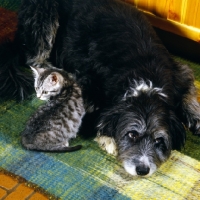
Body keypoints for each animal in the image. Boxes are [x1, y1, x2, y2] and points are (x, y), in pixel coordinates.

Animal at [1, 0, 200, 177]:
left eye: (159, 140)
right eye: (131, 135)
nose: (143, 170)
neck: (145, 79)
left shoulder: (179, 72)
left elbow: (189, 90)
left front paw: (195, 117)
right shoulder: (87, 83)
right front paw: (108, 138)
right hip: (44, 17)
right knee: (34, 59)